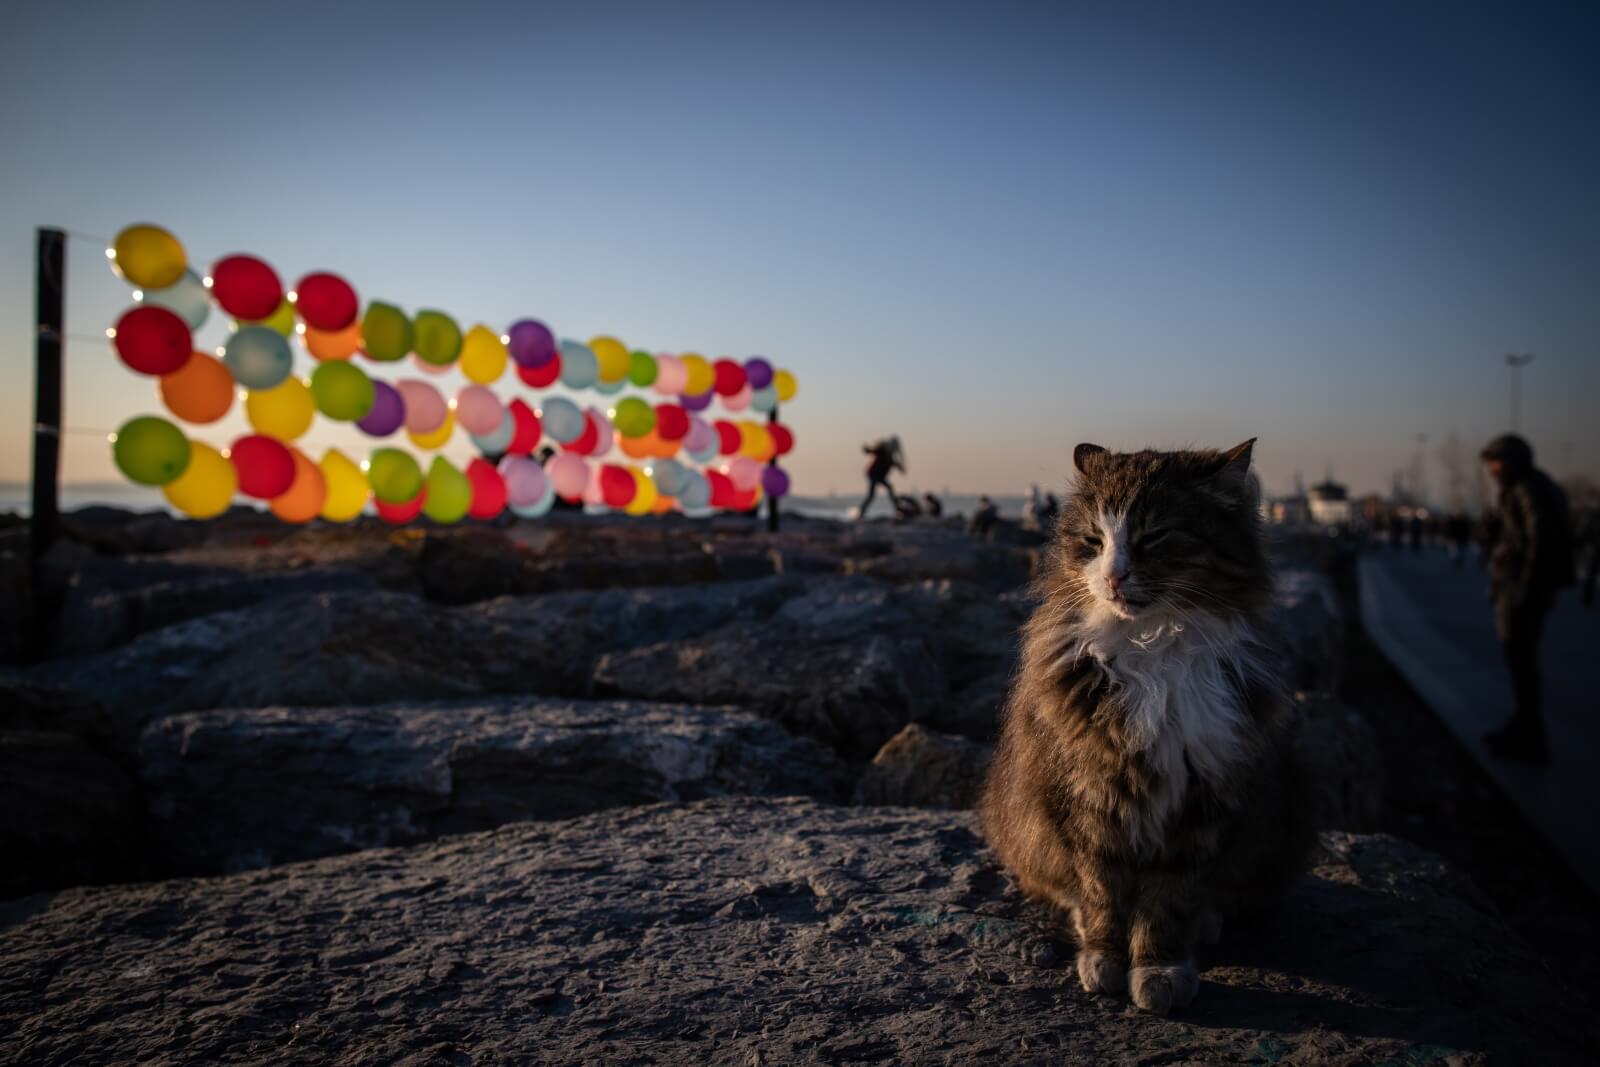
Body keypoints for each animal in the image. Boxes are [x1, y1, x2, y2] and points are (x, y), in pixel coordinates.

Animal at [972, 441, 1312, 1017]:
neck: (1153, 648)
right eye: (1094, 541)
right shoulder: (1089, 794)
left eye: (1154, 537)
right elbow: (1102, 891)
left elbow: (1168, 904)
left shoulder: (1201, 797)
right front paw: (1105, 959)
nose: (1113, 576)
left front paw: (1159, 968)